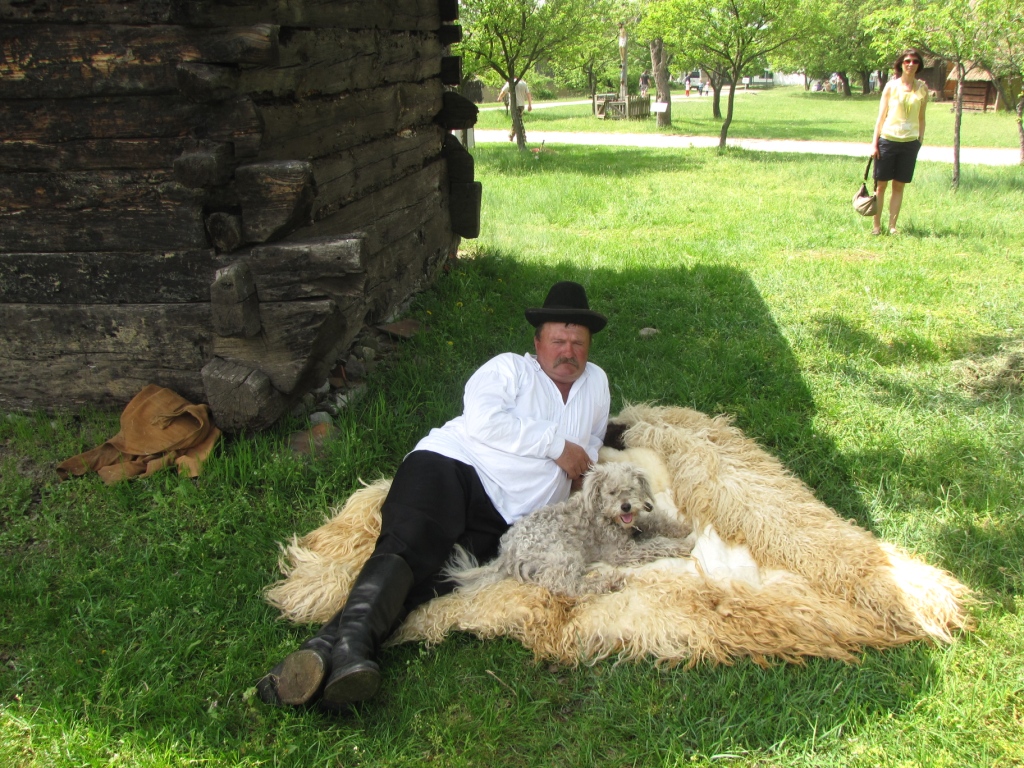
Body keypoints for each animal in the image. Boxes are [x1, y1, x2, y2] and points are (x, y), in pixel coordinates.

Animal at [450, 462, 696, 602]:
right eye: (612, 492)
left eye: (631, 489)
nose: (626, 507)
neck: (605, 515)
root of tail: (508, 550)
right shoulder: (620, 552)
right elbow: (656, 544)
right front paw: (683, 545)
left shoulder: (636, 526)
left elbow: (656, 521)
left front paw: (683, 528)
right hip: (563, 553)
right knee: (562, 584)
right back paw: (608, 582)